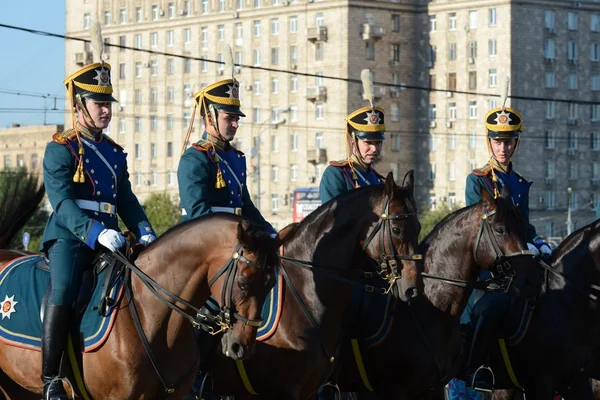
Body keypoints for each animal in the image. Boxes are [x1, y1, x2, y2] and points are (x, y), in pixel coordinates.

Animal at [209, 172, 424, 400]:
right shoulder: (283, 390)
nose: (413, 287)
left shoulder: (310, 389)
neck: (305, 294)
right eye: (396, 229)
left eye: (419, 227)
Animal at [340, 188, 540, 400]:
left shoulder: (433, 388)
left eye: (524, 228)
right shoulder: (390, 389)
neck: (429, 305)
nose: (533, 281)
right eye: (500, 229)